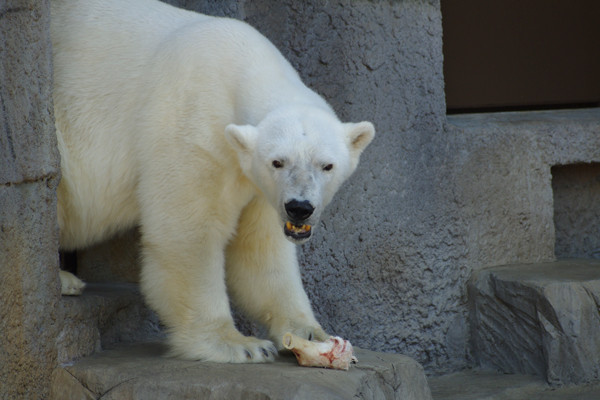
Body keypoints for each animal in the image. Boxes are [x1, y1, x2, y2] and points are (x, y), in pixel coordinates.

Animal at [51, 0, 372, 364]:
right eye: (277, 161)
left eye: (327, 165)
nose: (299, 208)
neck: (241, 62)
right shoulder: (194, 126)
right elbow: (190, 233)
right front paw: (241, 344)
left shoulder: (261, 187)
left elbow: (260, 248)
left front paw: (310, 332)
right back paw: (64, 278)